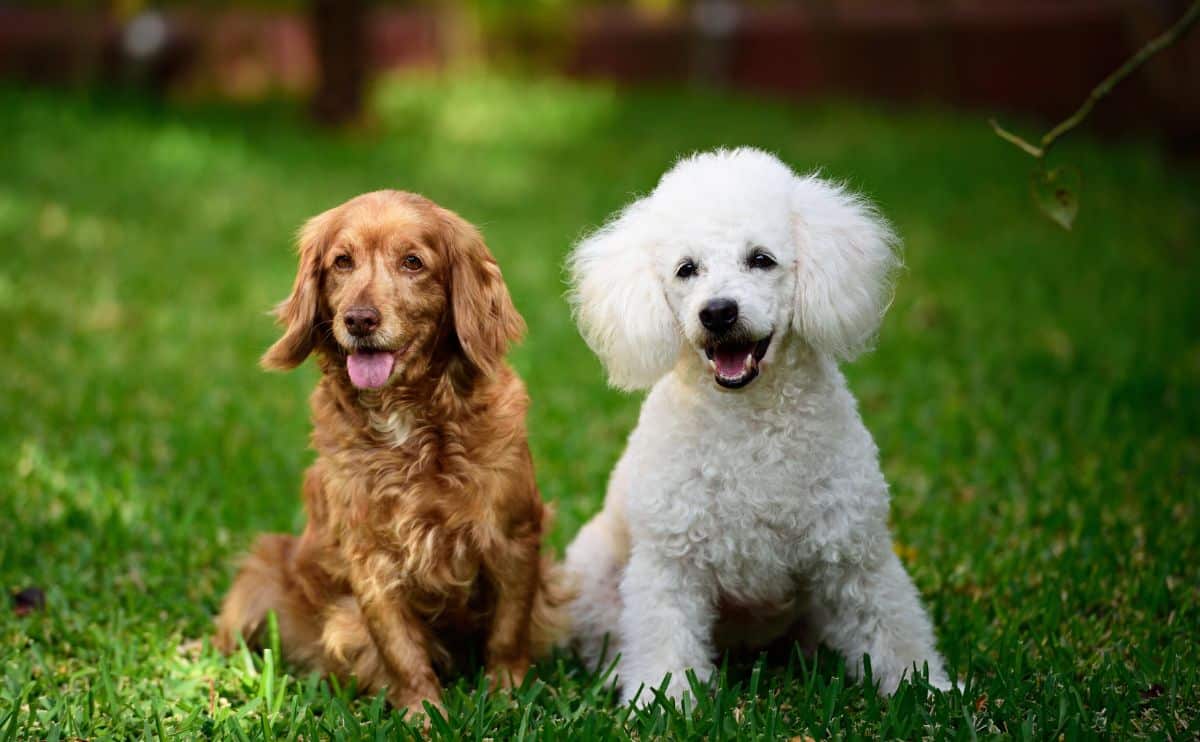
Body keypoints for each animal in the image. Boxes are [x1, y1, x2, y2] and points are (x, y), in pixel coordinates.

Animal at [216, 187, 571, 715]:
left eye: (412, 262)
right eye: (342, 261)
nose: (360, 319)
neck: (409, 423)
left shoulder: (514, 537)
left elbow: (508, 634)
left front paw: (508, 700)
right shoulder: (371, 560)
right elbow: (401, 650)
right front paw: (424, 714)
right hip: (257, 575)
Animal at [566, 145, 950, 705]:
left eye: (761, 259)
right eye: (686, 269)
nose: (718, 312)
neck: (749, 422)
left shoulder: (853, 547)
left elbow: (890, 622)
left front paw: (926, 690)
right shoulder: (670, 560)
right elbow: (665, 637)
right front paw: (664, 700)